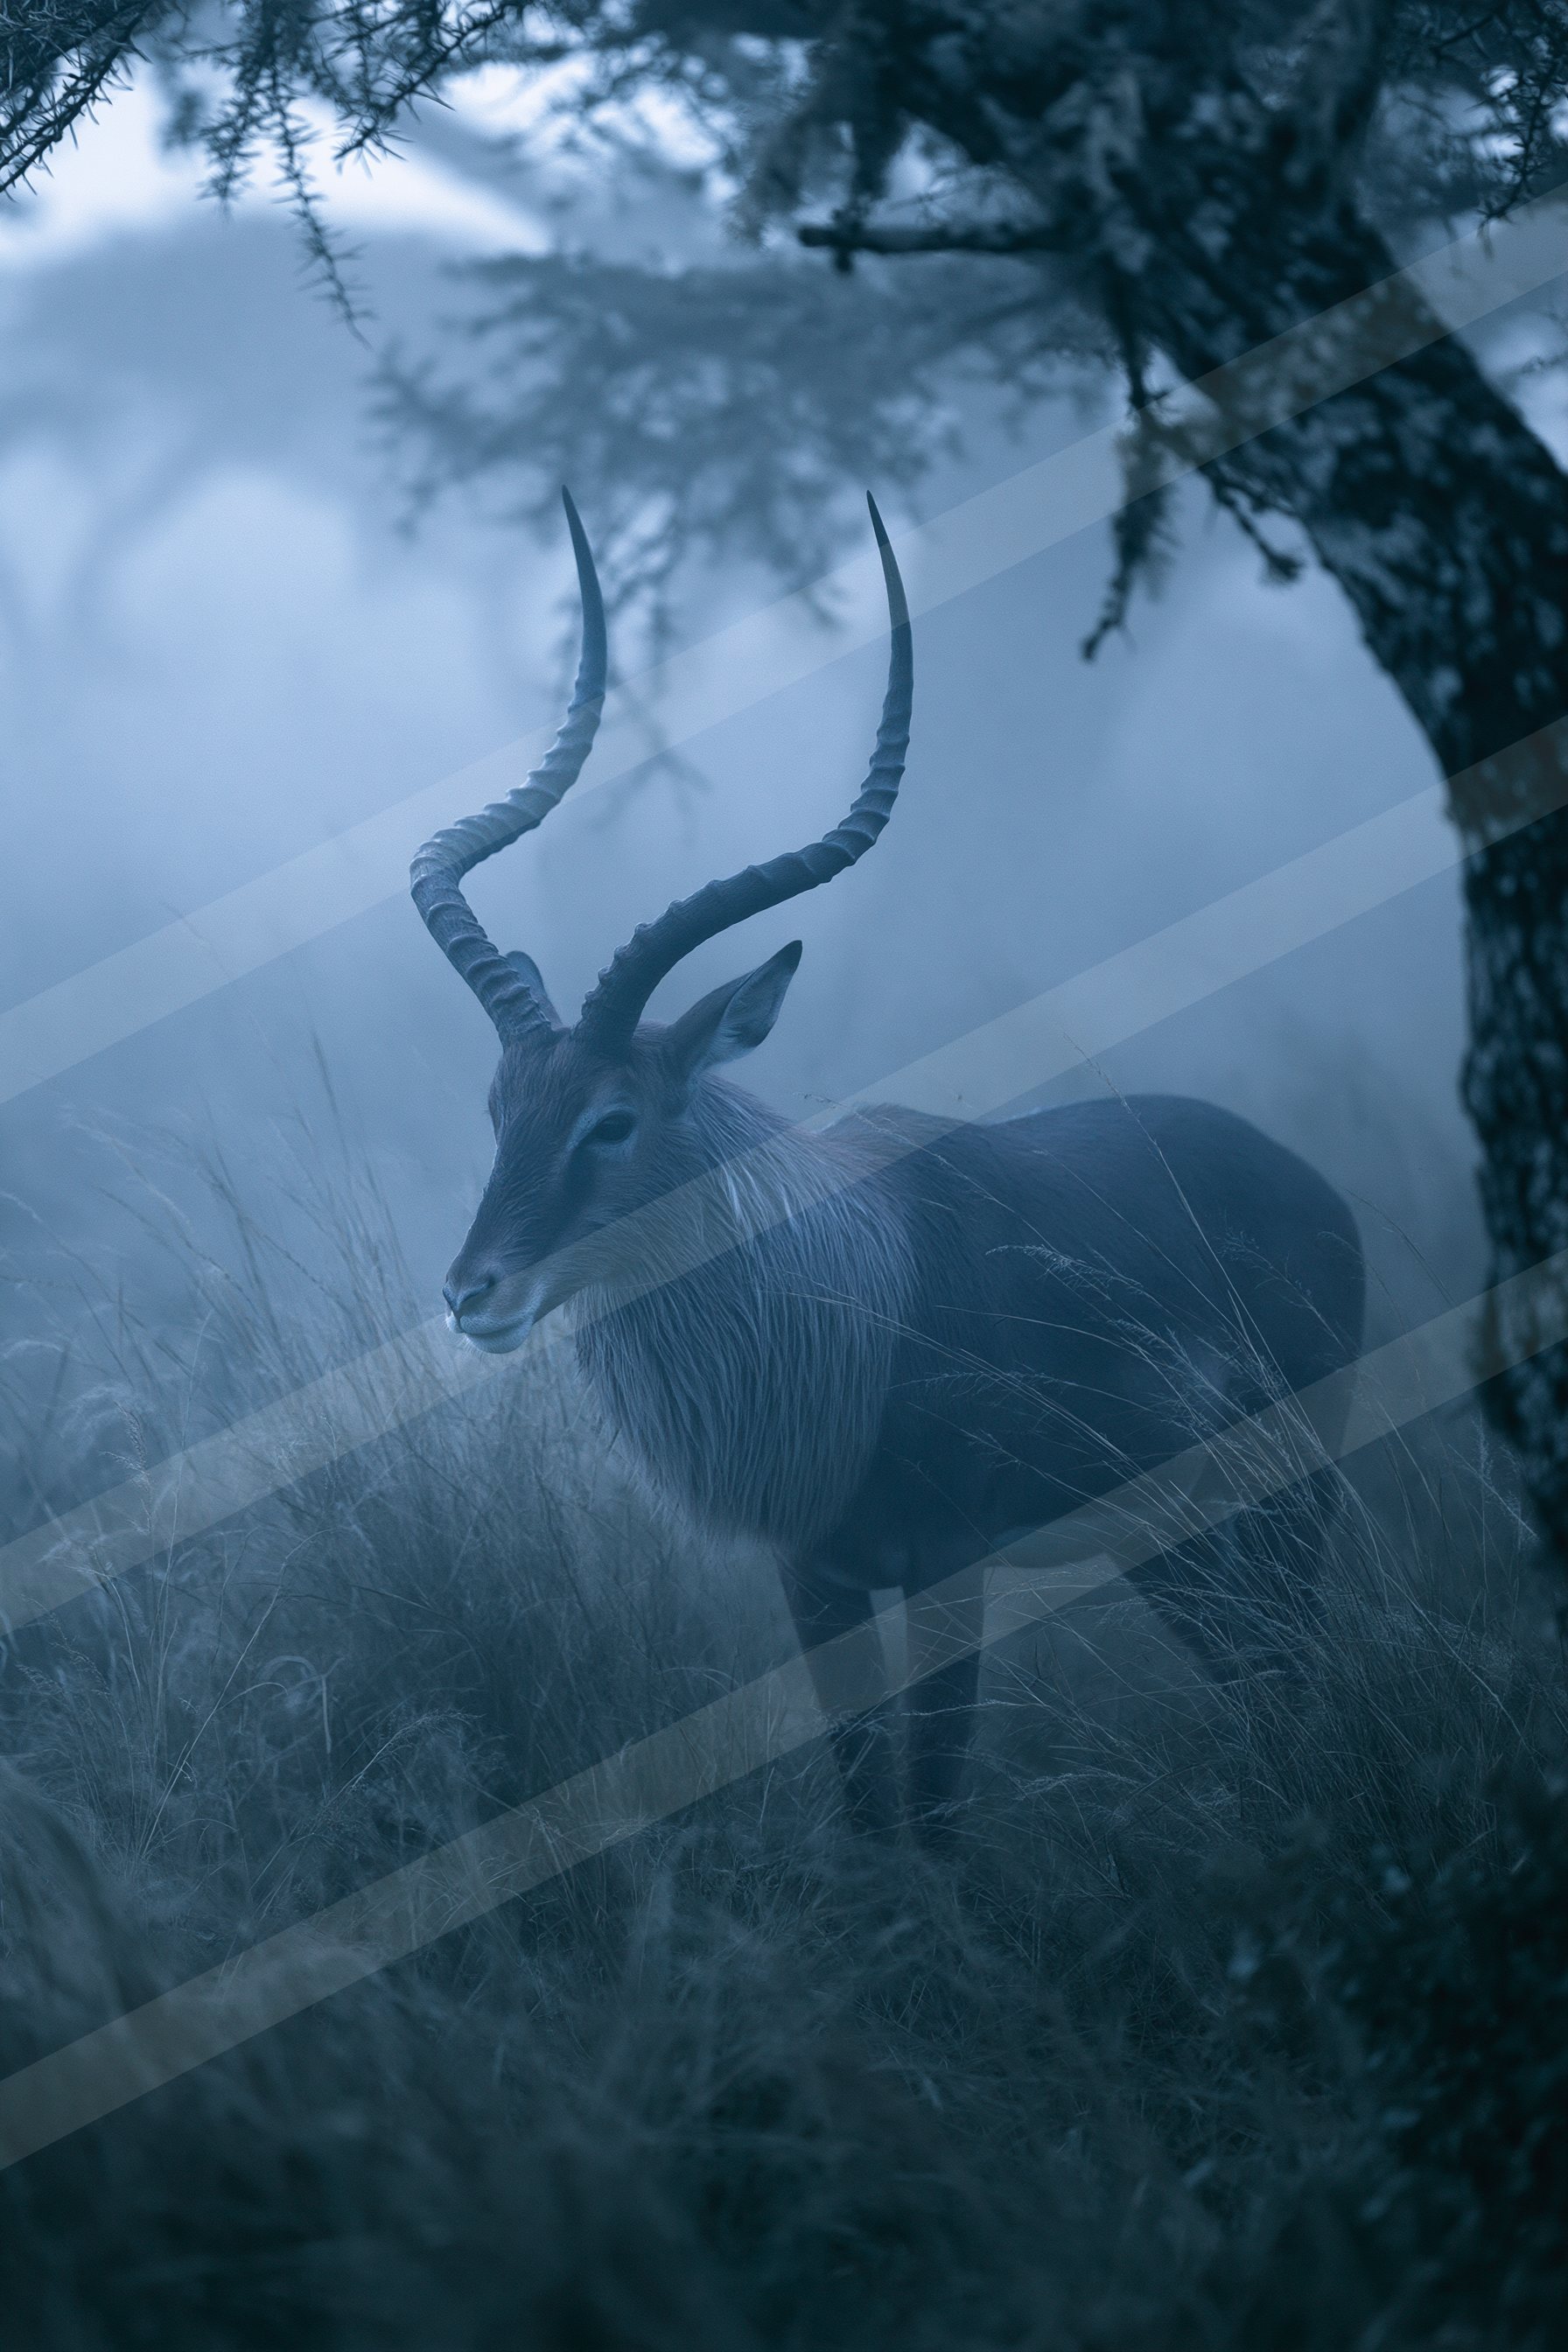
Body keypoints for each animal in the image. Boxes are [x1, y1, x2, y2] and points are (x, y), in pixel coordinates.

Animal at [413, 492, 1365, 1834]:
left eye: (613, 1119)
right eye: (502, 1107)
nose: (472, 1294)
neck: (834, 1297)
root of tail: (1294, 1171)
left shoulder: (947, 1563)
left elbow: (934, 1806)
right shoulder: (814, 1579)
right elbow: (869, 1811)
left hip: (1281, 1490)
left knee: (1298, 1660)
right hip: (1168, 1533)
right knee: (1265, 1674)